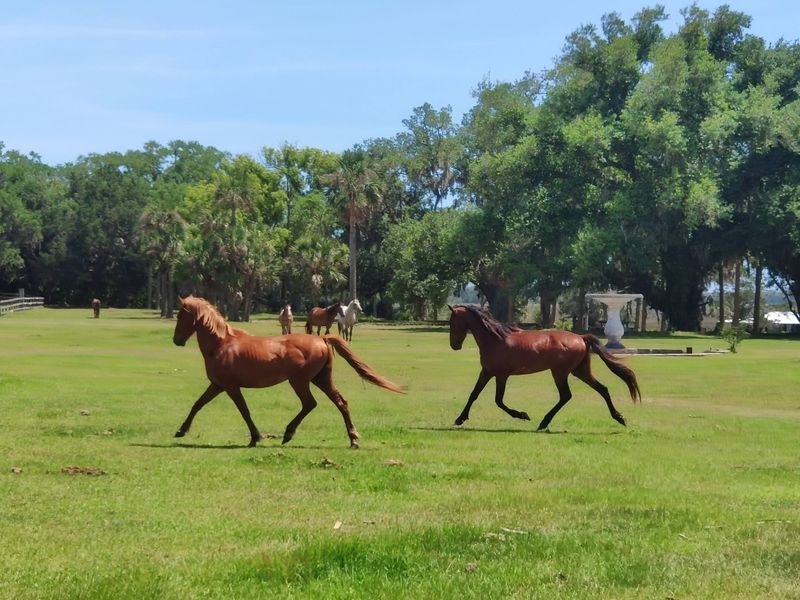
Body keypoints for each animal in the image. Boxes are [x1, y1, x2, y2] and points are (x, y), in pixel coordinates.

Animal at [172, 296, 403, 448]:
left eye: (181, 315)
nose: (177, 340)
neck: (222, 344)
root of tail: (322, 339)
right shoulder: (218, 385)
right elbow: (197, 405)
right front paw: (181, 430)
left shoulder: (230, 387)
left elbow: (244, 411)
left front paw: (255, 437)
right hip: (320, 379)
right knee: (340, 402)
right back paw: (353, 438)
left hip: (299, 381)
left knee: (310, 404)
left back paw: (289, 433)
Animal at [448, 305, 641, 431]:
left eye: (452, 322)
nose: (454, 346)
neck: (495, 339)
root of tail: (581, 338)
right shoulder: (487, 372)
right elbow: (474, 394)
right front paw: (460, 418)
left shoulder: (501, 375)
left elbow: (498, 401)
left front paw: (522, 414)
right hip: (579, 371)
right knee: (602, 389)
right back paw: (619, 417)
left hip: (560, 373)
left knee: (566, 396)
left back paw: (543, 422)